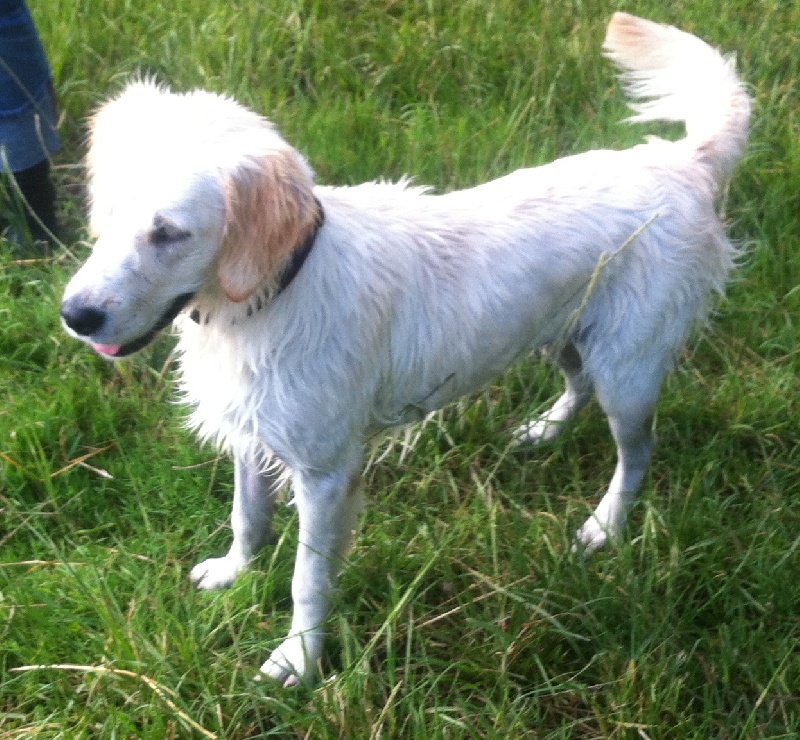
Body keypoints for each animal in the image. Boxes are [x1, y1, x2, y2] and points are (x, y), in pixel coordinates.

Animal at [61, 13, 750, 685]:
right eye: (109, 212)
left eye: (170, 233)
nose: (75, 316)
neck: (270, 294)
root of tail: (684, 161)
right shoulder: (255, 434)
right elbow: (247, 517)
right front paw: (234, 573)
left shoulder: (325, 473)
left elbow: (306, 580)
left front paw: (299, 661)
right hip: (570, 336)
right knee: (576, 386)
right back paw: (542, 432)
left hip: (627, 371)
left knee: (636, 454)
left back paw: (605, 526)